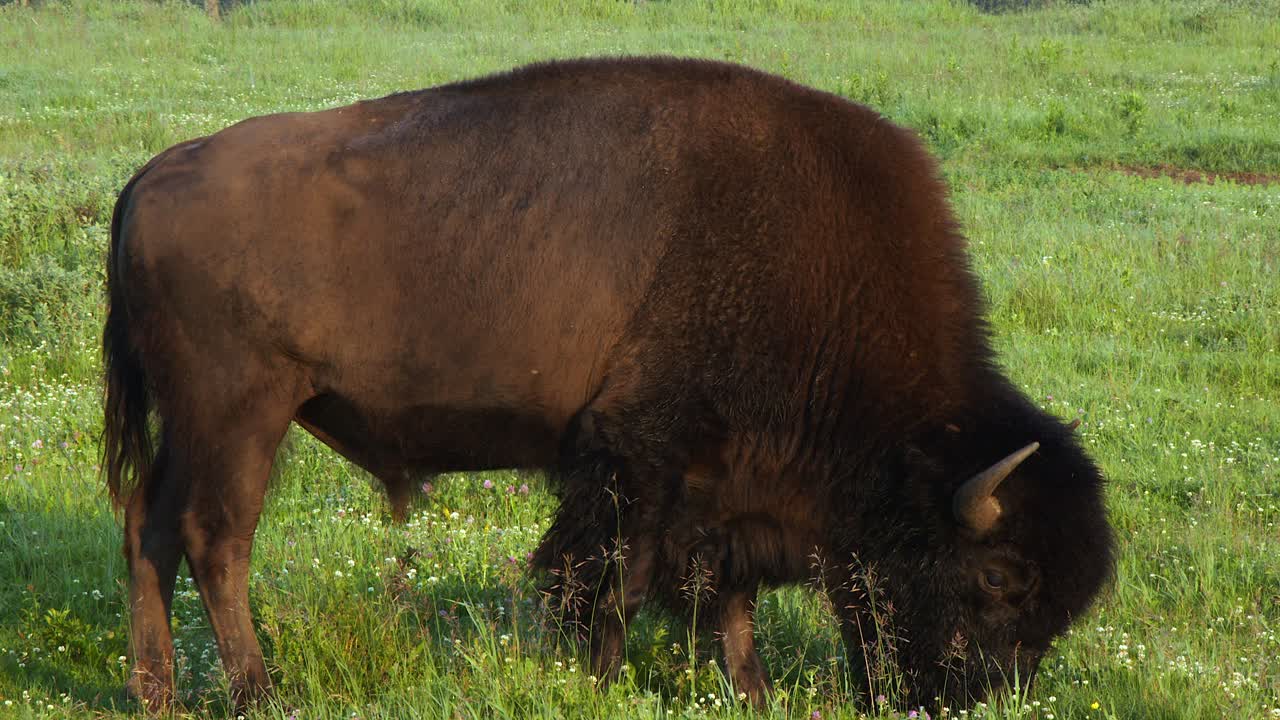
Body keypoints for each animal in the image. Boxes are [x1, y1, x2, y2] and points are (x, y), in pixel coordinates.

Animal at [103, 57, 1113, 711]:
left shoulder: (715, 489)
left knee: (150, 526)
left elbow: (723, 600)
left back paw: (157, 694)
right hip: (242, 414)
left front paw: (748, 693)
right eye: (1000, 579)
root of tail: (150, 176)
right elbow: (612, 585)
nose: (972, 699)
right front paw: (601, 680)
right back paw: (257, 693)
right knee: (216, 540)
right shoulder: (641, 460)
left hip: (195, 425)